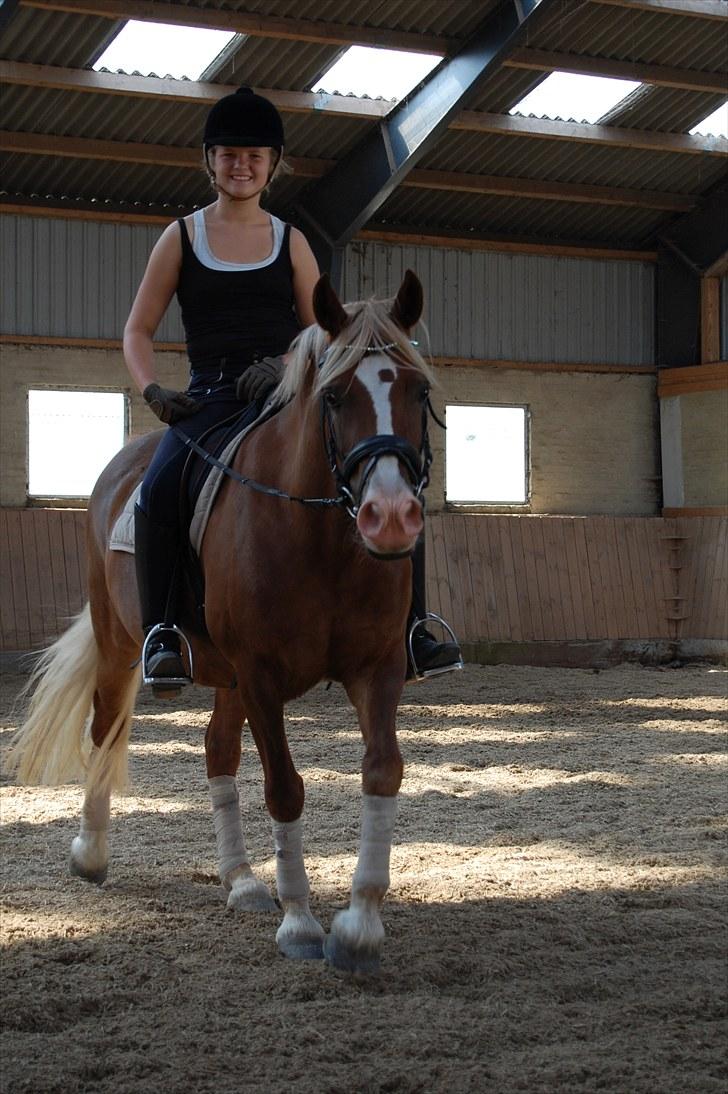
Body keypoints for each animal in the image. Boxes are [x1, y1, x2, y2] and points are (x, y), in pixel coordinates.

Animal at [8, 270, 437, 975]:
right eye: (335, 395)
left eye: (419, 391)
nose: (392, 517)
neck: (320, 538)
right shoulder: (261, 675)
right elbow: (285, 788)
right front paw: (300, 924)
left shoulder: (376, 669)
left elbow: (382, 770)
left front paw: (358, 926)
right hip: (121, 643)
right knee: (106, 729)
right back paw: (91, 853)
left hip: (228, 676)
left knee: (216, 750)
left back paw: (241, 880)